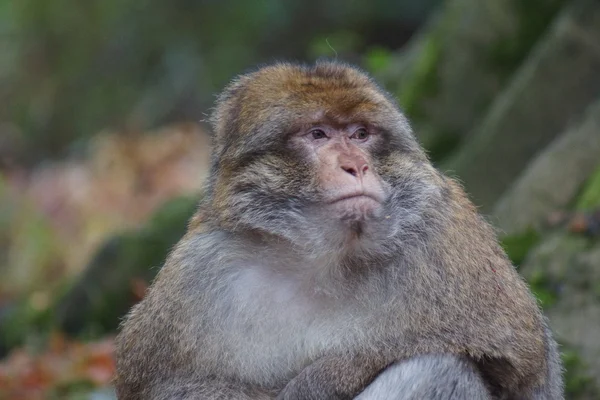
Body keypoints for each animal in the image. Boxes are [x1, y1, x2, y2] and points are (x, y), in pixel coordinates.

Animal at [113, 61, 564, 398]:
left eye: (360, 134)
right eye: (318, 134)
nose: (357, 165)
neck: (321, 260)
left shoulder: (447, 234)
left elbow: (512, 361)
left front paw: (319, 381)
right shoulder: (199, 270)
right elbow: (166, 386)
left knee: (439, 368)